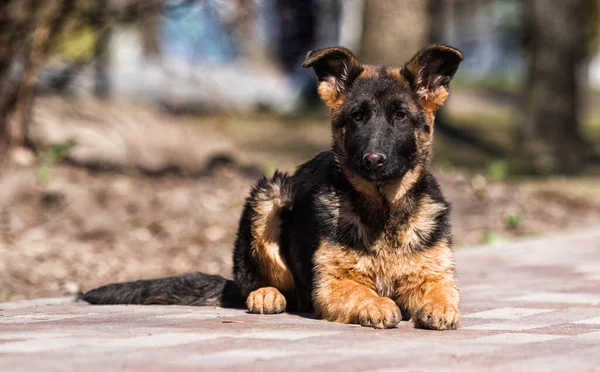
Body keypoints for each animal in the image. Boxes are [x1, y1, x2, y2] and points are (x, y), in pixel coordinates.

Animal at [79, 44, 464, 332]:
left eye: (401, 116)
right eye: (358, 117)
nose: (373, 160)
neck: (383, 210)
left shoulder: (434, 274)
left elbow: (443, 291)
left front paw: (441, 307)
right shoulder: (330, 284)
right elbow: (360, 291)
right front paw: (377, 304)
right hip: (269, 198)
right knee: (263, 284)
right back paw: (266, 295)